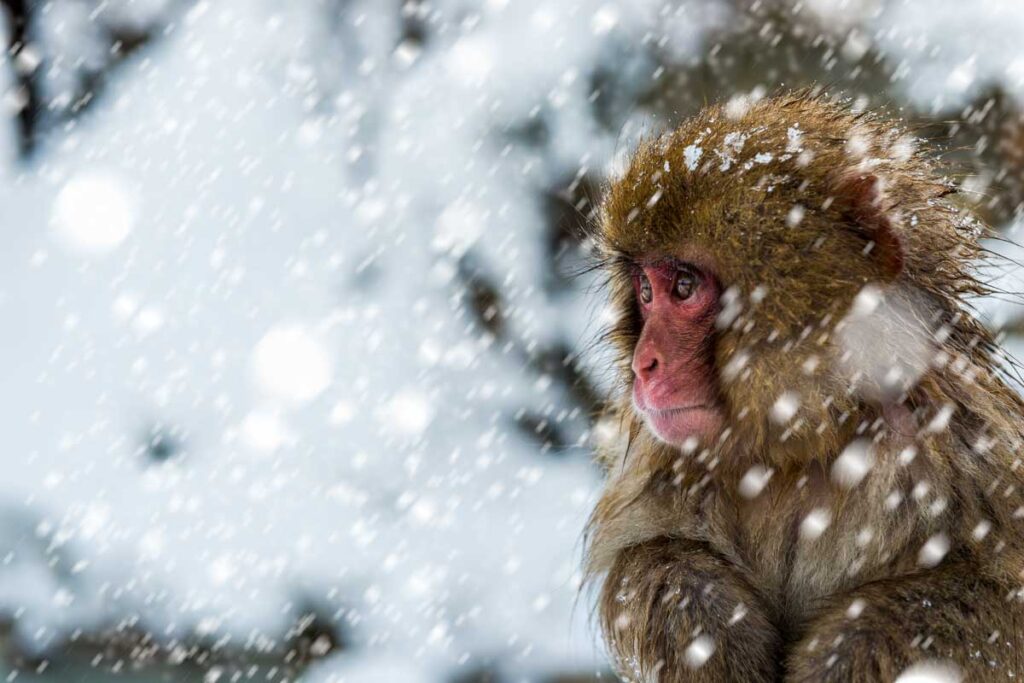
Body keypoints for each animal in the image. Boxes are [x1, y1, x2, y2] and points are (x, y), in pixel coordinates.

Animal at [582, 92, 1024, 682]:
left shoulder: (964, 444)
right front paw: (712, 622)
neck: (809, 437)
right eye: (646, 292)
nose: (643, 364)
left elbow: (998, 594)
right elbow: (650, 552)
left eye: (684, 286)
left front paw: (849, 645)